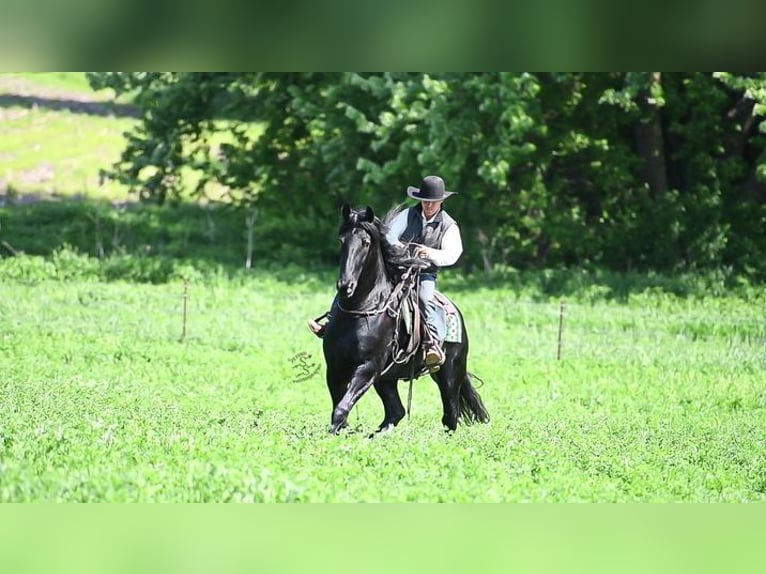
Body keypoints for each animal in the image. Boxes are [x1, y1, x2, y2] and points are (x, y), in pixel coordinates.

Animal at [322, 205, 492, 434]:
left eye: (365, 243)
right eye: (342, 240)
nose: (345, 286)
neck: (360, 309)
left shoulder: (367, 368)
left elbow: (341, 409)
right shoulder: (334, 368)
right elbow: (339, 409)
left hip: (449, 375)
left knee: (450, 415)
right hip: (387, 379)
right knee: (396, 411)